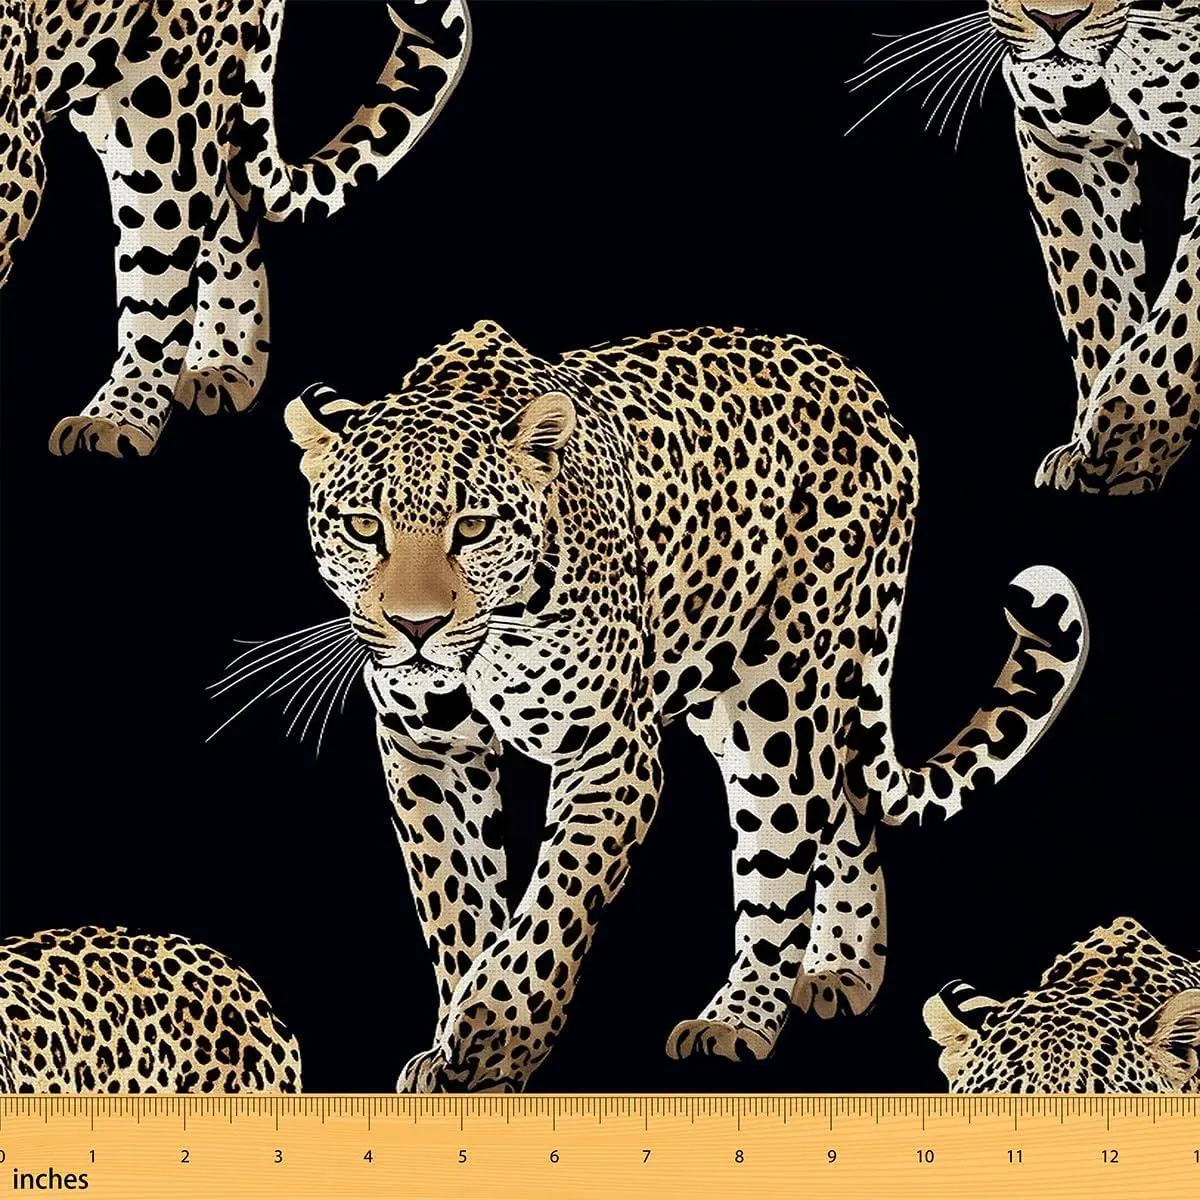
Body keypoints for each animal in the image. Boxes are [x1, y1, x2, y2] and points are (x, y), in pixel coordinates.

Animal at [0, 0, 469, 458]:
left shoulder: (14, 148)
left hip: (164, 110)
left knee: (164, 268)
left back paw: (120, 419)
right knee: (228, 210)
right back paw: (220, 369)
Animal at [278, 319, 1089, 1093]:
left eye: (472, 528)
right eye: (363, 527)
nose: (415, 628)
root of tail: (866, 388)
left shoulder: (607, 754)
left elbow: (552, 908)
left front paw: (493, 1039)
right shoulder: (427, 748)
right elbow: (458, 903)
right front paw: (456, 1046)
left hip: (780, 697)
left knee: (785, 849)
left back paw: (738, 1021)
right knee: (845, 800)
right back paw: (842, 971)